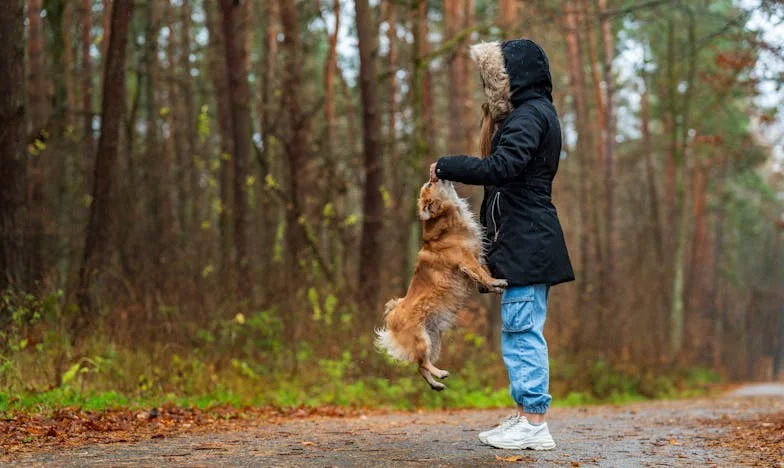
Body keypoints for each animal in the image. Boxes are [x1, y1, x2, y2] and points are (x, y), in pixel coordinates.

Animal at [376, 179, 508, 392]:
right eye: (430, 184)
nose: (435, 175)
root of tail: (393, 314)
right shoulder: (466, 259)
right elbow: (481, 274)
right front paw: (496, 282)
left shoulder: (475, 258)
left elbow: (483, 273)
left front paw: (494, 287)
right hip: (422, 340)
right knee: (423, 363)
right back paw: (440, 373)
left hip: (434, 339)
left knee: (421, 367)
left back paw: (436, 383)